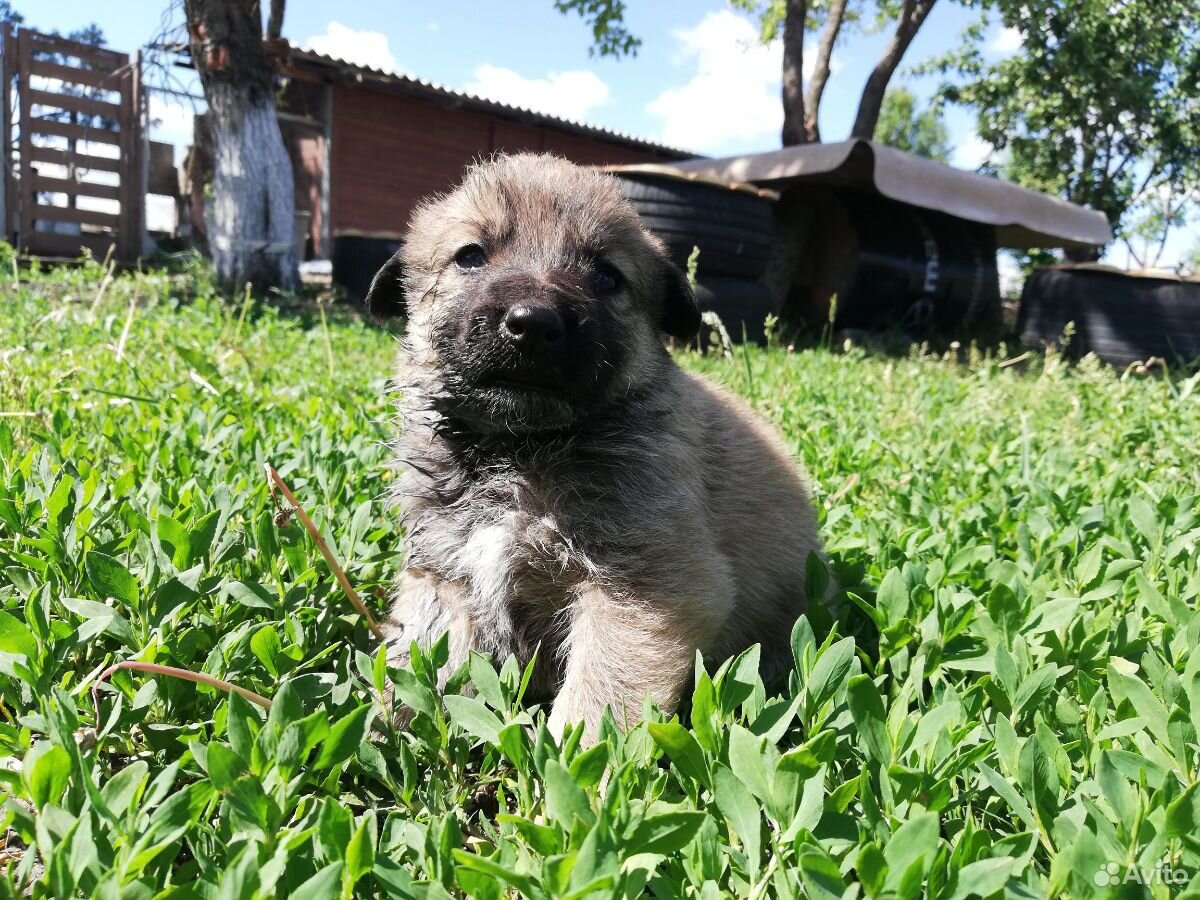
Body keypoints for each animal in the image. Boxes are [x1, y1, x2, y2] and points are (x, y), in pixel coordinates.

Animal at [367, 153, 825, 739]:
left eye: (607, 276)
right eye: (470, 256)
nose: (532, 324)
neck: (519, 450)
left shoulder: (644, 585)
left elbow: (600, 692)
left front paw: (575, 758)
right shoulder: (443, 576)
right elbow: (418, 654)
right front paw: (383, 724)